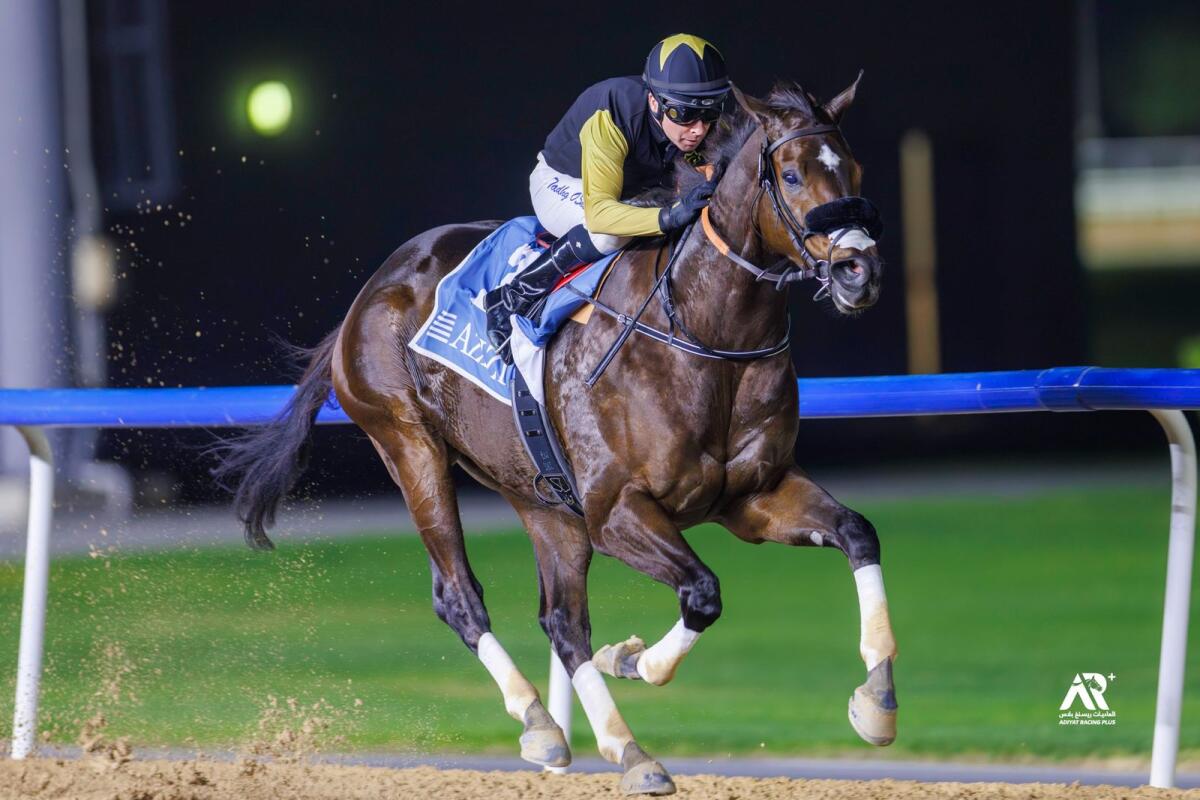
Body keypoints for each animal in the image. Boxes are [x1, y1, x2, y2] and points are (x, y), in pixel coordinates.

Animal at [220, 79, 902, 796]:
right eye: (792, 174)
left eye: (855, 171)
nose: (859, 270)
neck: (704, 332)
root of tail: (372, 290)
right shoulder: (616, 511)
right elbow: (703, 592)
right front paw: (634, 661)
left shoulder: (752, 496)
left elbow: (858, 533)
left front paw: (877, 704)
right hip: (410, 447)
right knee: (461, 598)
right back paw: (541, 721)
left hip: (541, 496)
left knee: (563, 623)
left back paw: (629, 750)